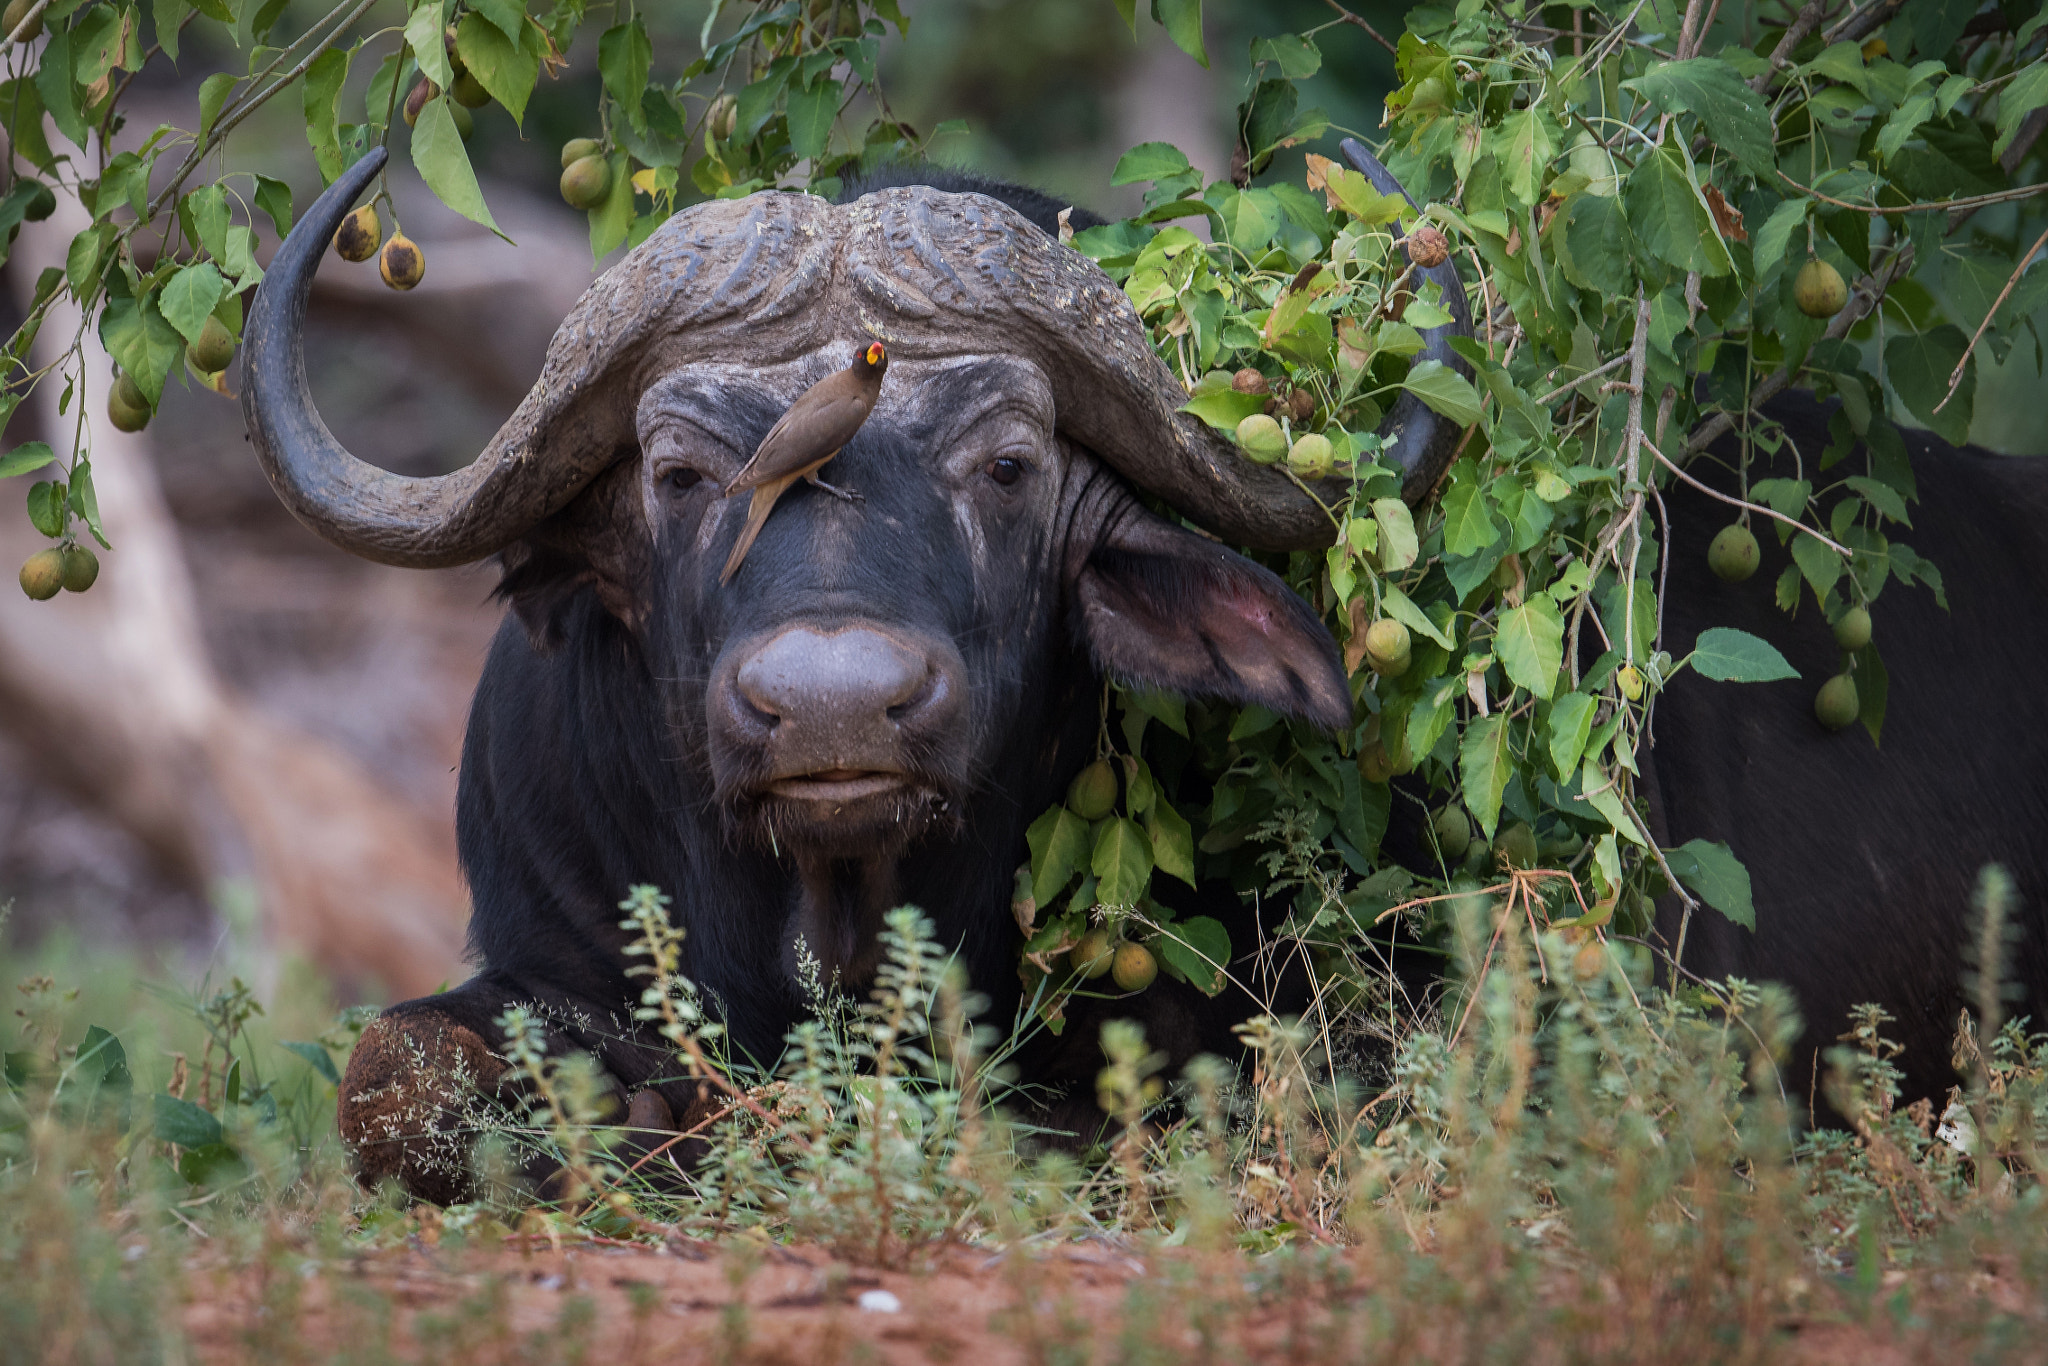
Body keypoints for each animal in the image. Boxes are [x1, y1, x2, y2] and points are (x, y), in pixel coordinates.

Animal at [243, 144, 1474, 1204]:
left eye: (1010, 465)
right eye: (677, 475)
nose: (831, 709)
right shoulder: (547, 940)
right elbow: (386, 1071)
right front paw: (640, 1125)